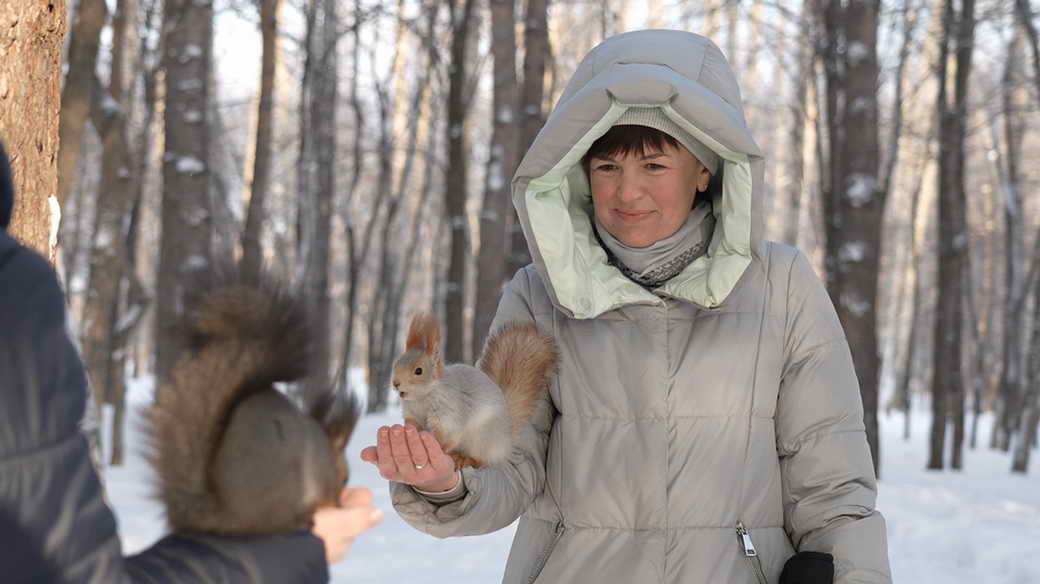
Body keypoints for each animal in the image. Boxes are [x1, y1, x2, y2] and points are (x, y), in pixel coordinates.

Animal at [391, 313, 557, 467]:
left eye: (418, 371)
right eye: (397, 362)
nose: (395, 383)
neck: (422, 397)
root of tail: (506, 441)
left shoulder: (449, 412)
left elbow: (448, 436)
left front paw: (439, 448)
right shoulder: (412, 414)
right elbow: (413, 423)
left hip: (482, 439)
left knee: (480, 460)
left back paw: (463, 460)